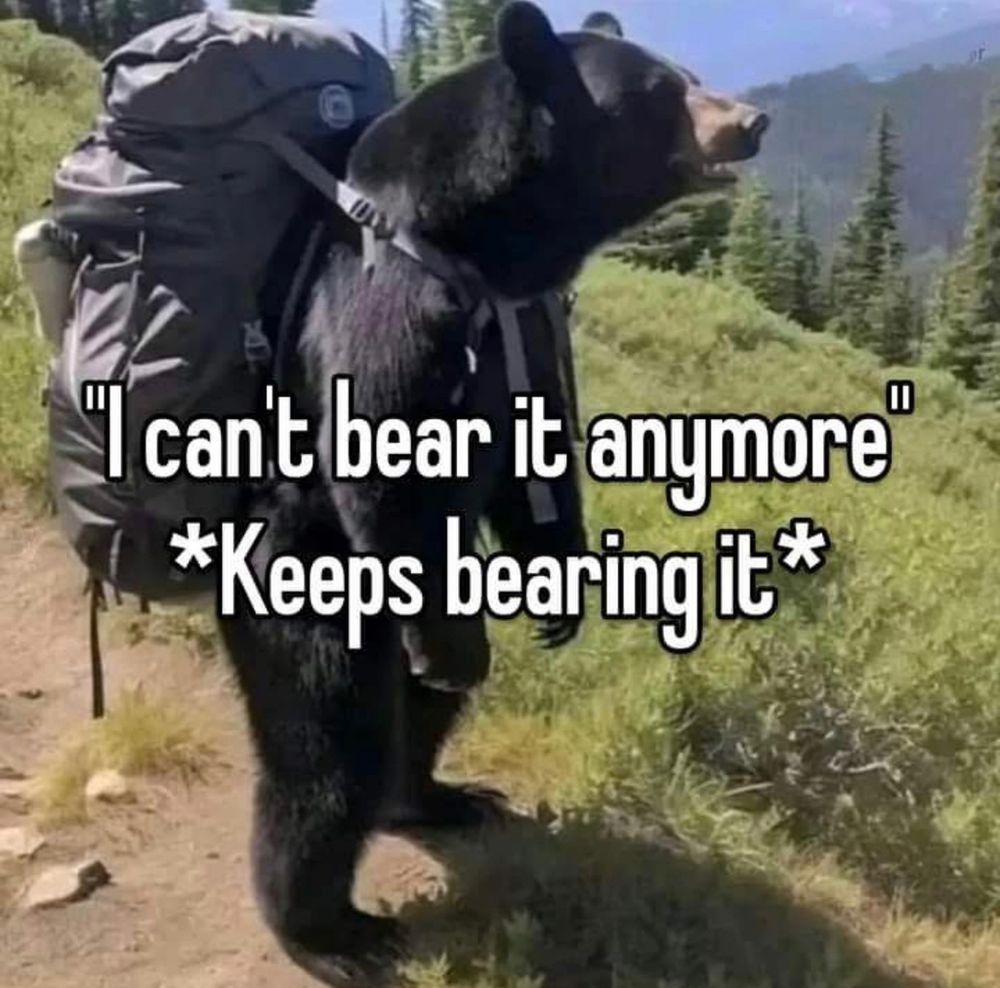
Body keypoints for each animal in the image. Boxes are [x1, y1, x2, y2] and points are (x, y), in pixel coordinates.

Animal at [217, 3, 768, 985]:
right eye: (660, 91)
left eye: (690, 72)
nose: (748, 120)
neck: (483, 244)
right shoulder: (385, 296)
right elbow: (381, 451)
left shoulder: (531, 322)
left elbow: (534, 449)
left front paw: (561, 594)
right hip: (301, 581)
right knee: (328, 752)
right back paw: (330, 931)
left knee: (421, 711)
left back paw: (440, 797)